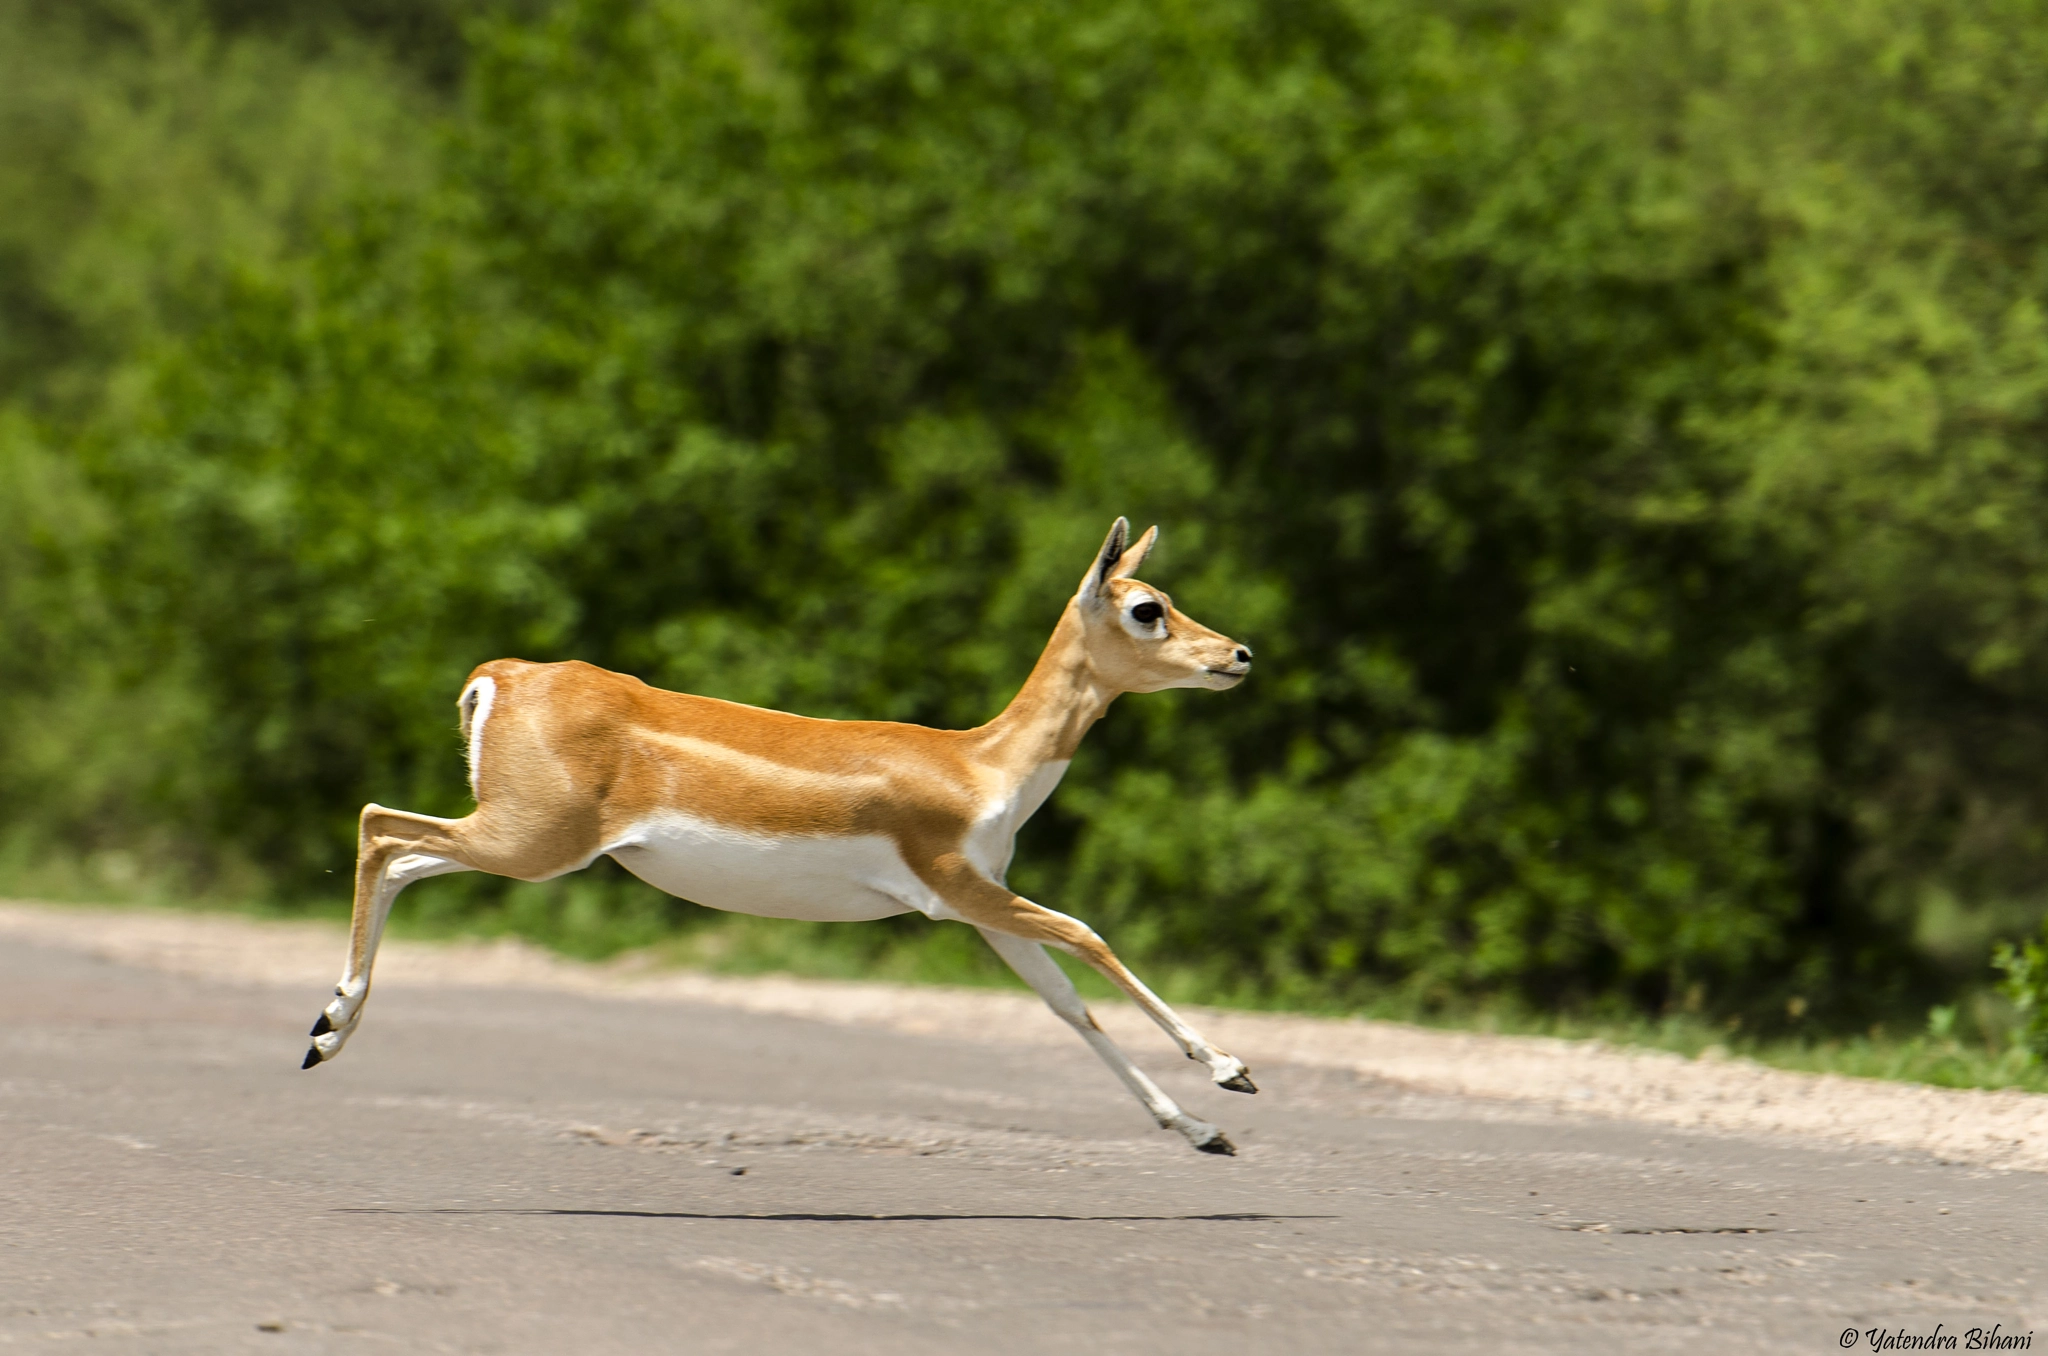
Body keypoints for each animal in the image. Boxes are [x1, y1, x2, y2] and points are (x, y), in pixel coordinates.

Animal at [302, 518, 1259, 1154]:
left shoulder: (979, 908)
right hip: (530, 843)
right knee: (380, 829)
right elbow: (1089, 935)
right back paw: (326, 1030)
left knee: (399, 853)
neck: (981, 765)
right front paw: (1230, 1071)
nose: (1238, 655)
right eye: (1147, 608)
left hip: (518, 841)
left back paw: (326, 1034)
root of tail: (502, 675)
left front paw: (1202, 1129)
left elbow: (1066, 1003)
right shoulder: (957, 886)